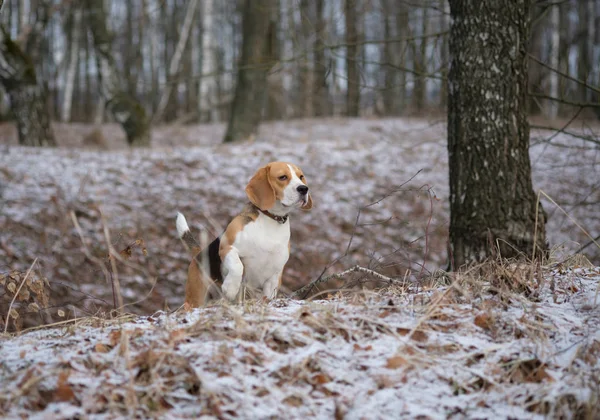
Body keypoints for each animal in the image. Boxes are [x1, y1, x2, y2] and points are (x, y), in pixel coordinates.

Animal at [176, 162, 312, 306]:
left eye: (301, 177)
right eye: (283, 177)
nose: (304, 189)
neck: (271, 220)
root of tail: (199, 254)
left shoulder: (274, 276)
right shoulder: (227, 248)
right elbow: (238, 266)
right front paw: (230, 288)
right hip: (196, 297)